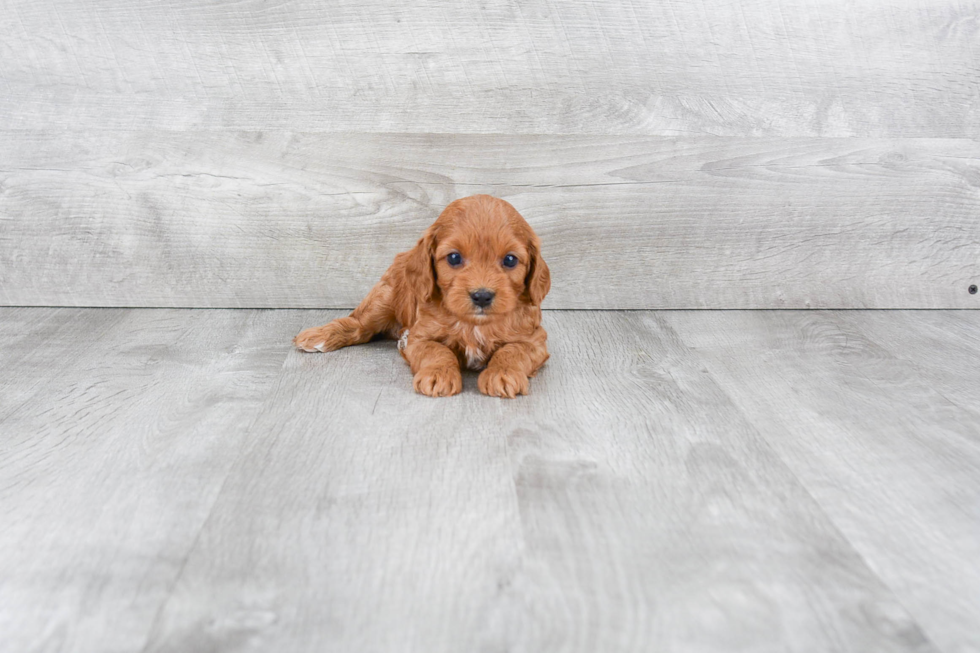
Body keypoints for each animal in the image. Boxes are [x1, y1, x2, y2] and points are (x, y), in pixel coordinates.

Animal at [290, 194, 552, 398]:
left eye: (510, 260)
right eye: (454, 258)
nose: (481, 296)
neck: (474, 324)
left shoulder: (534, 340)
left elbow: (512, 351)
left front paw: (503, 373)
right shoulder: (416, 337)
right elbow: (436, 350)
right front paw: (437, 374)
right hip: (384, 297)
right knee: (358, 325)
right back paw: (319, 336)